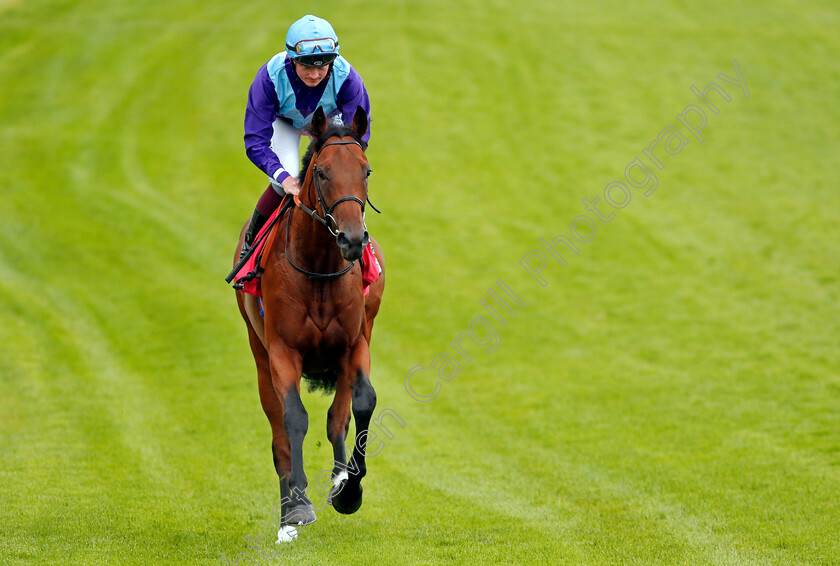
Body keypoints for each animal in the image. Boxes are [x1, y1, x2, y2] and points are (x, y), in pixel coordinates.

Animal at [233, 105, 384, 536]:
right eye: (322, 172)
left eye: (366, 170)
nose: (352, 239)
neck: (319, 266)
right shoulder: (283, 351)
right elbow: (293, 419)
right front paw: (298, 506)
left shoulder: (354, 343)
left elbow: (360, 404)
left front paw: (350, 490)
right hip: (259, 351)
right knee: (278, 429)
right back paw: (289, 508)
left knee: (338, 416)